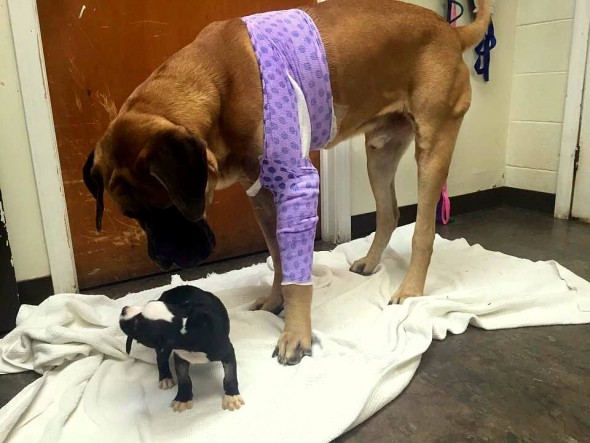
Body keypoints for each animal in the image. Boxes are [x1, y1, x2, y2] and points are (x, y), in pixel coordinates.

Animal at [82, 0, 490, 366]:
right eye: (132, 215)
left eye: (168, 205)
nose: (162, 260)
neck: (217, 84)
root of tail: (451, 32)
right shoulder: (262, 196)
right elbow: (279, 257)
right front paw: (275, 301)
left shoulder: (298, 187)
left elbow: (297, 276)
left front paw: (296, 334)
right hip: (380, 153)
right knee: (389, 212)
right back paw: (372, 261)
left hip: (433, 149)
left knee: (423, 230)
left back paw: (411, 289)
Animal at [119, 284, 244, 412]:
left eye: (136, 325)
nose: (124, 309)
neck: (188, 328)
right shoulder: (180, 356)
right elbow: (183, 379)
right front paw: (182, 399)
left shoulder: (226, 351)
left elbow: (230, 376)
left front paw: (232, 397)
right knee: (161, 359)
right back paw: (165, 378)